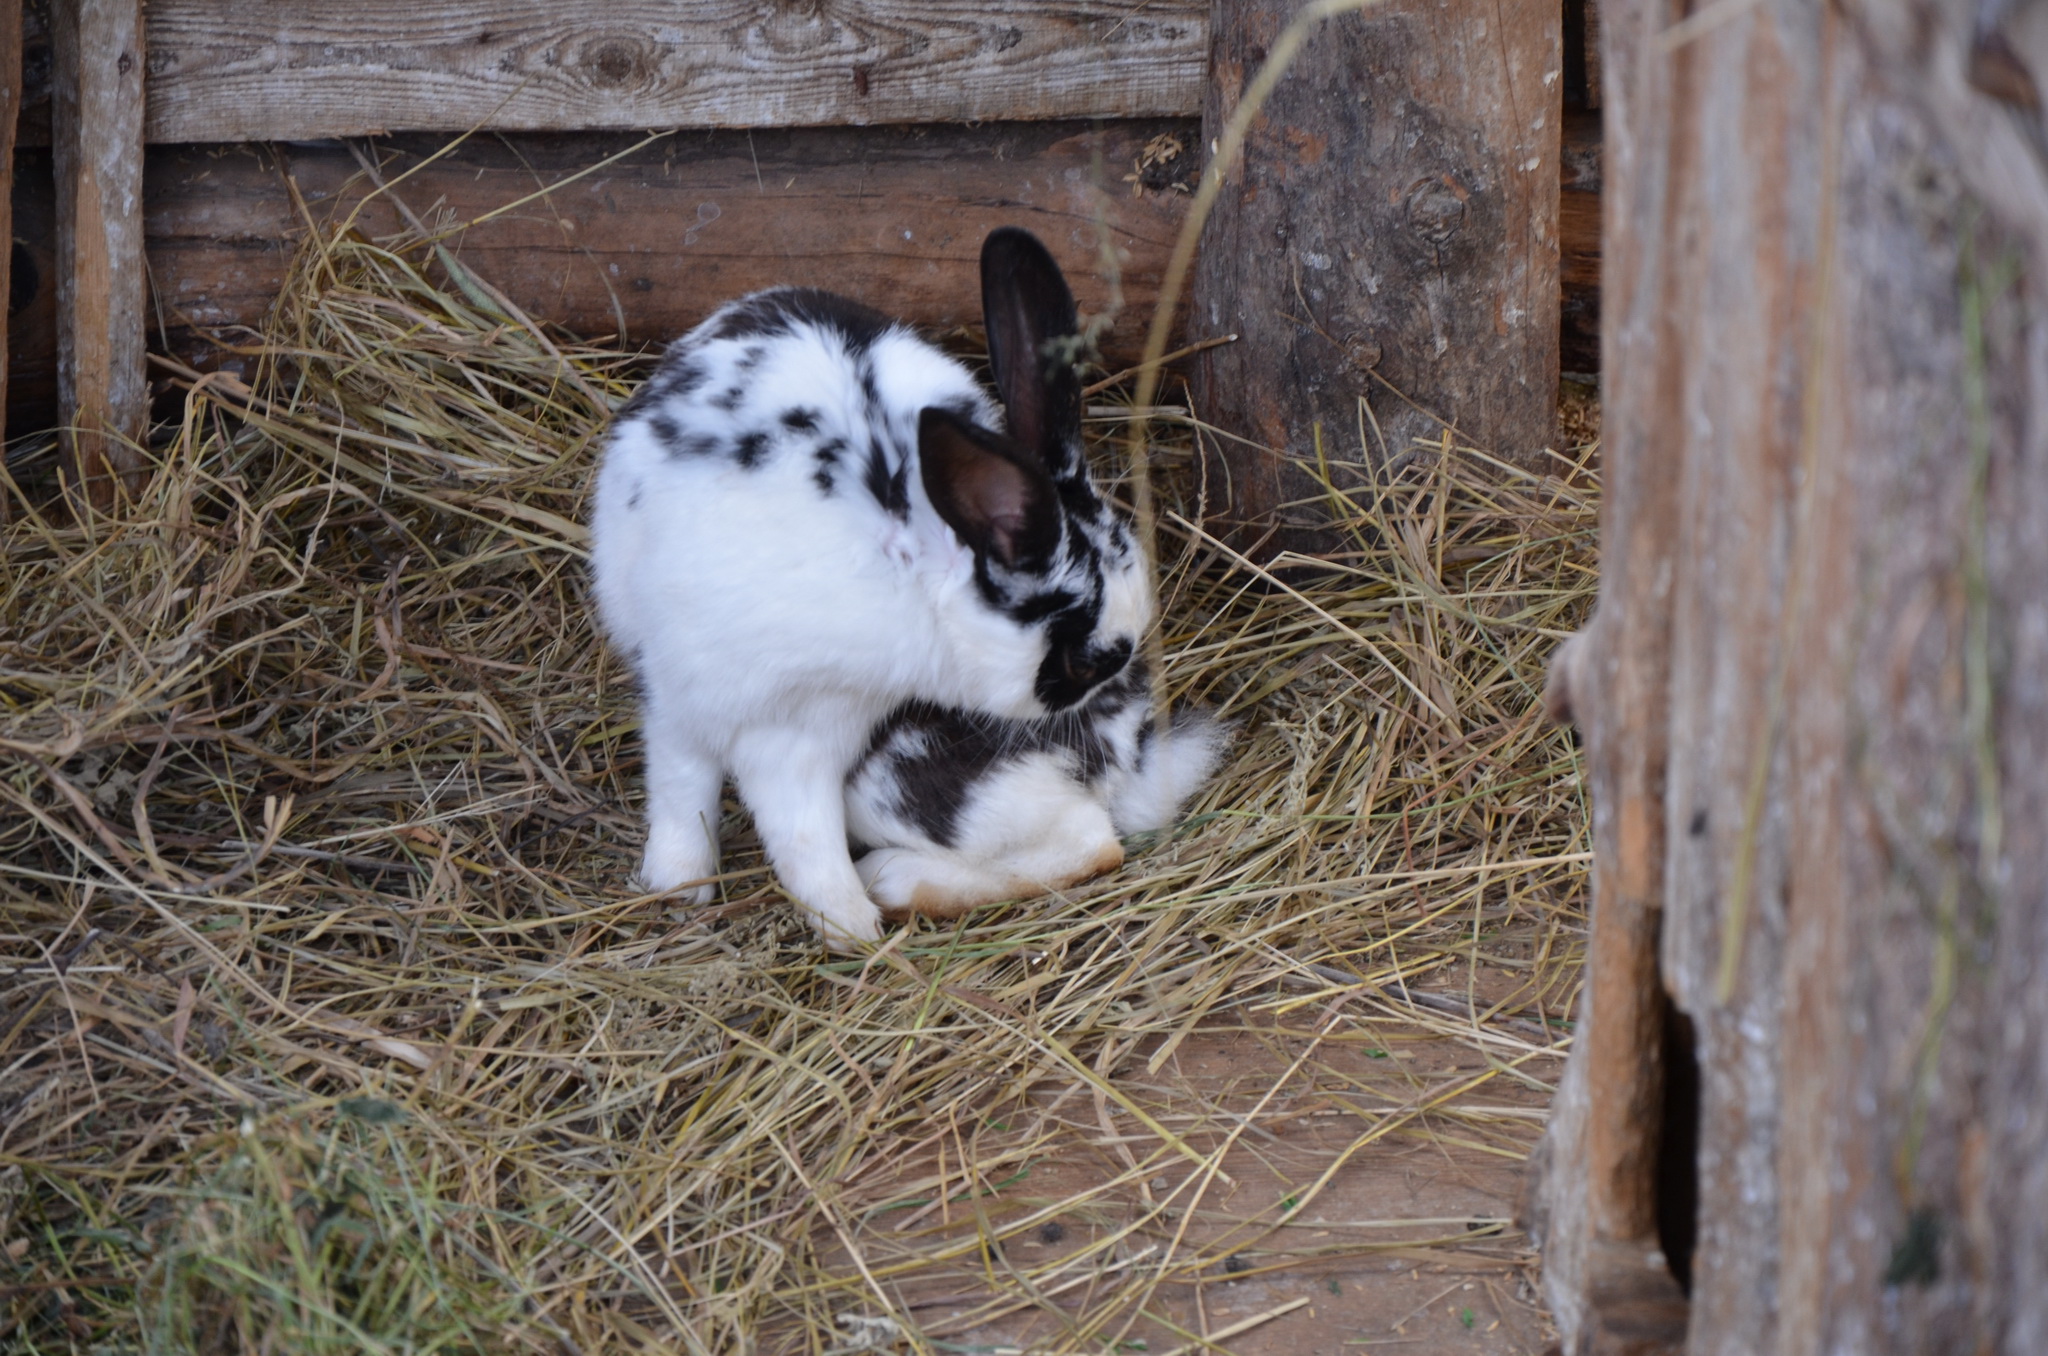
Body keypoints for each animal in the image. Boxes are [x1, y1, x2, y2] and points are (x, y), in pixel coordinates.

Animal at [593, 228, 1228, 950]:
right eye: (1082, 659)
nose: (1115, 691)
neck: (904, 582)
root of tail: (1128, 754)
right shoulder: (684, 697)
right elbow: (684, 789)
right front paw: (679, 887)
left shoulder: (798, 738)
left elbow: (801, 841)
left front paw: (852, 932)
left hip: (884, 778)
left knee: (1095, 844)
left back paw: (889, 883)